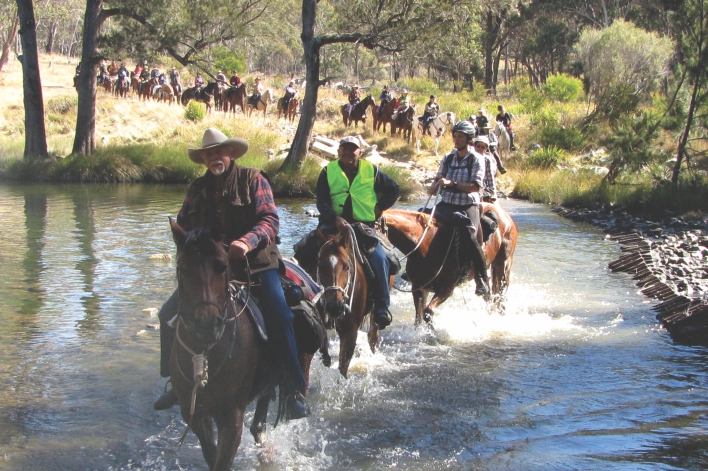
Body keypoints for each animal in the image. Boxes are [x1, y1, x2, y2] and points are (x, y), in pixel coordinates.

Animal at [378, 205, 516, 326]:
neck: (425, 246)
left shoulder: (447, 289)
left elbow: (428, 312)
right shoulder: (419, 288)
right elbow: (418, 319)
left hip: (503, 264)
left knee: (501, 292)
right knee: (489, 296)